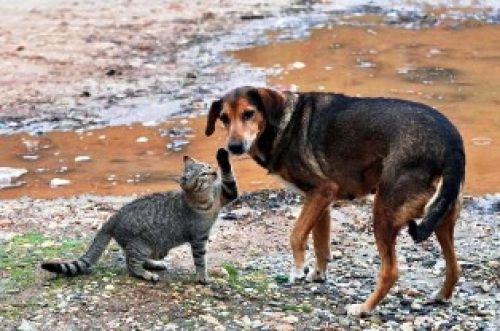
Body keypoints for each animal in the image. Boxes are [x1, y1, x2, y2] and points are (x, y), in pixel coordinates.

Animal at [41, 149, 238, 284]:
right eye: (203, 174)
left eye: (209, 167)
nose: (214, 172)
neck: (207, 199)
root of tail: (114, 217)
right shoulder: (198, 237)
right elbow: (200, 259)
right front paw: (202, 277)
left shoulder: (227, 193)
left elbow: (229, 177)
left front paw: (222, 155)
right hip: (140, 246)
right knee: (131, 264)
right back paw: (146, 274)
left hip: (150, 247)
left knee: (135, 259)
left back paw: (155, 265)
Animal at [204, 86, 464, 316]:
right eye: (224, 118)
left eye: (249, 113)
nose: (233, 147)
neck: (283, 123)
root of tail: (451, 144)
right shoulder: (322, 201)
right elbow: (320, 243)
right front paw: (317, 274)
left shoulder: (322, 190)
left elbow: (296, 235)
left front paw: (298, 270)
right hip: (442, 217)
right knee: (454, 266)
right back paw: (441, 296)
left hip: (384, 212)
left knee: (390, 271)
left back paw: (364, 308)